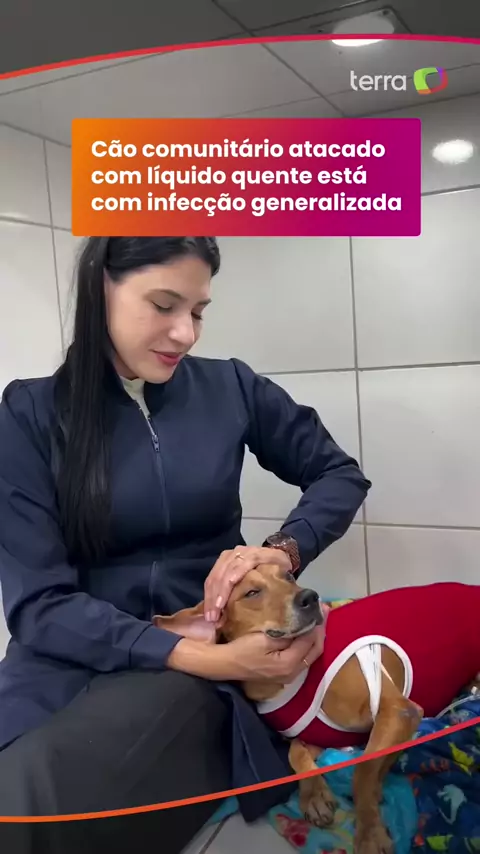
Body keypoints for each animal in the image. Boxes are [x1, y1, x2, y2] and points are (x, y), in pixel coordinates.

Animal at [153, 566, 480, 854]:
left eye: (287, 575)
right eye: (252, 592)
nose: (310, 596)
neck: (286, 681)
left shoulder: (399, 710)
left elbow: (363, 769)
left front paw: (369, 831)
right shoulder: (319, 737)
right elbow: (295, 753)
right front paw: (314, 795)